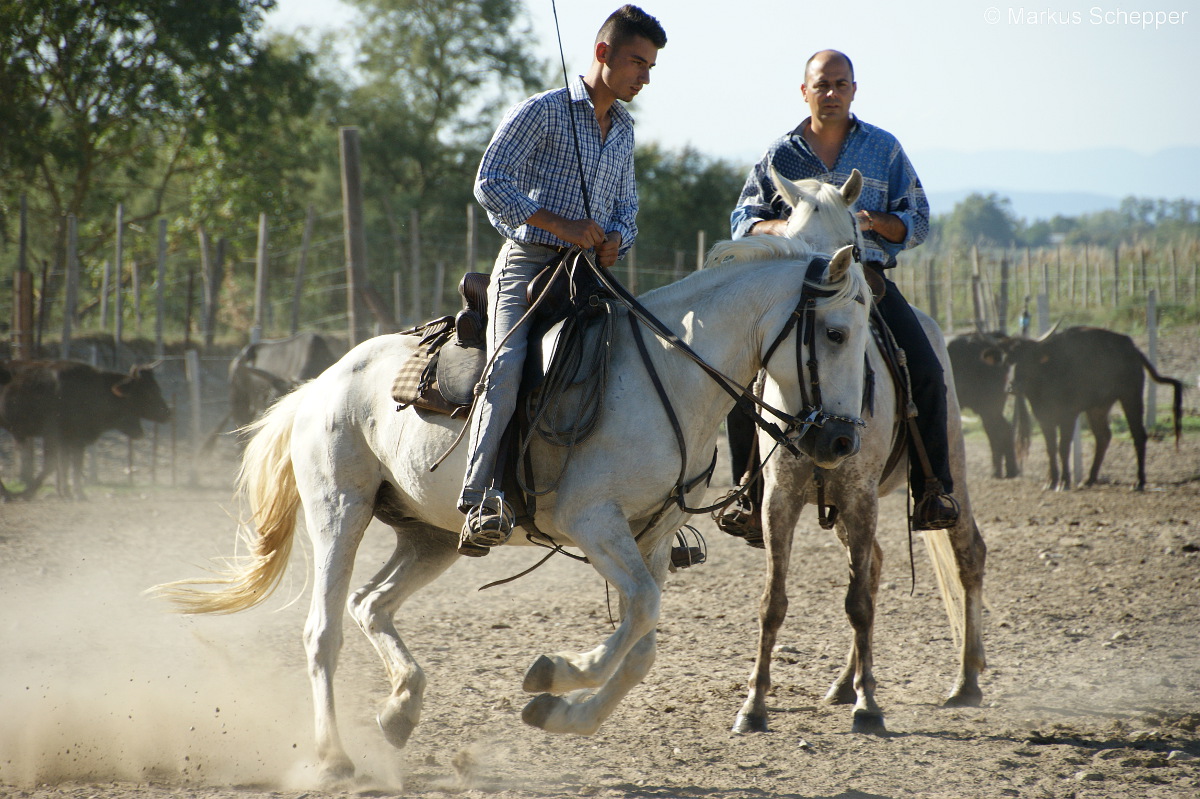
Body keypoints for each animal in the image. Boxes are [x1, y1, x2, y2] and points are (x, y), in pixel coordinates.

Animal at [0, 357, 171, 494]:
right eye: (148, 391)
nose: (167, 413)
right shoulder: (54, 435)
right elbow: (55, 464)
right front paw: (28, 493)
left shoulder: (73, 439)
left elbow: (70, 464)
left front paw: (72, 494)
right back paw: (8, 495)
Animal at [154, 221, 878, 777]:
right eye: (836, 333)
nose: (843, 439)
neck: (670, 375)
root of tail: (320, 383)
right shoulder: (595, 522)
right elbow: (641, 612)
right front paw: (555, 674)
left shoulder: (651, 533)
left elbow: (643, 641)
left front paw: (561, 709)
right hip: (340, 511)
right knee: (323, 628)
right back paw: (334, 757)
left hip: (432, 536)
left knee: (370, 604)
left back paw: (400, 708)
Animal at [724, 169, 988, 734]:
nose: (839, 438)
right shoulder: (780, 499)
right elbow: (773, 602)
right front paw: (753, 705)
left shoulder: (861, 495)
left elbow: (859, 603)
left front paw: (869, 707)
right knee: (877, 564)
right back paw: (845, 683)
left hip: (948, 470)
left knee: (967, 556)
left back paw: (965, 681)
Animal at [998, 326, 1185, 489]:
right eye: (1007, 361)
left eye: (1027, 360)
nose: (1012, 387)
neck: (1048, 372)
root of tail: (1133, 349)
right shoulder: (1044, 417)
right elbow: (1050, 448)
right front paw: (1051, 481)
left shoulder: (1069, 416)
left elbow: (1063, 447)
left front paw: (1064, 482)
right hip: (1097, 408)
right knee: (1103, 436)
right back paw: (1089, 479)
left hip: (1130, 397)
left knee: (1138, 435)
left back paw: (1138, 482)